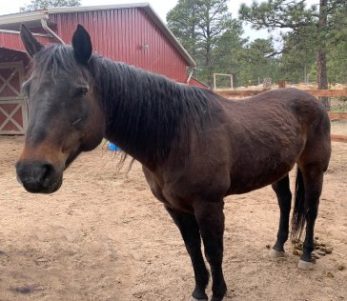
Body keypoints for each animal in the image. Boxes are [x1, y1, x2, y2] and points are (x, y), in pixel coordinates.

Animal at [16, 25, 332, 300]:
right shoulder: (175, 207)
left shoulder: (209, 205)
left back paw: (306, 255)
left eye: (80, 90)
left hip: (313, 168)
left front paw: (218, 292)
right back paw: (278, 247)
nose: (33, 172)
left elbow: (213, 252)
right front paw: (199, 291)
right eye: (27, 88)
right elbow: (192, 249)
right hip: (278, 170)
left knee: (311, 208)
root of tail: (312, 99)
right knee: (285, 202)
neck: (180, 135)